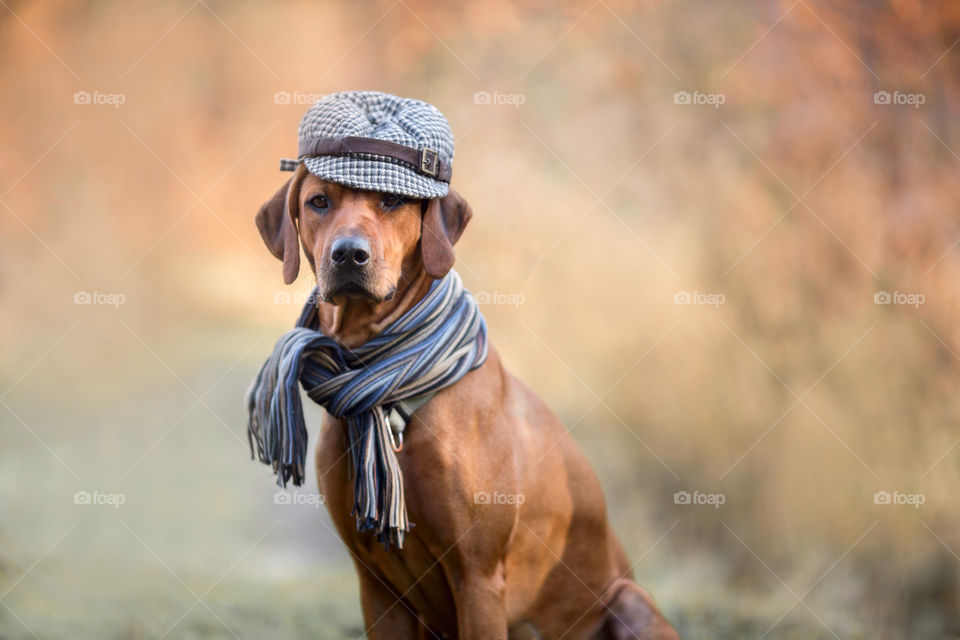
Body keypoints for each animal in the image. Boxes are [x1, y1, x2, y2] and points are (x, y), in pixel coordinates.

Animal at [255, 162, 676, 636]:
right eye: (319, 201)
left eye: (392, 200)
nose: (348, 254)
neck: (389, 390)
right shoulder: (376, 585)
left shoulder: (479, 577)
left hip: (630, 602)